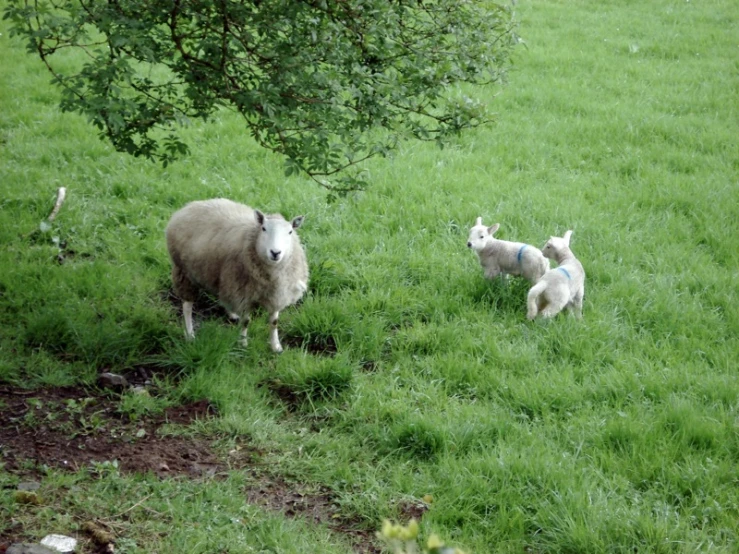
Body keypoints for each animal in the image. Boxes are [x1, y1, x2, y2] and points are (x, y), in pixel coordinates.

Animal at [165, 198, 310, 352]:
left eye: (290, 232)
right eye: (264, 228)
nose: (275, 252)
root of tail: (190, 205)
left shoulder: (277, 293)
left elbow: (274, 322)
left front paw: (276, 346)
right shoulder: (243, 293)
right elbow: (246, 321)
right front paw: (243, 343)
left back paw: (232, 314)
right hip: (184, 272)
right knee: (187, 306)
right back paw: (190, 334)